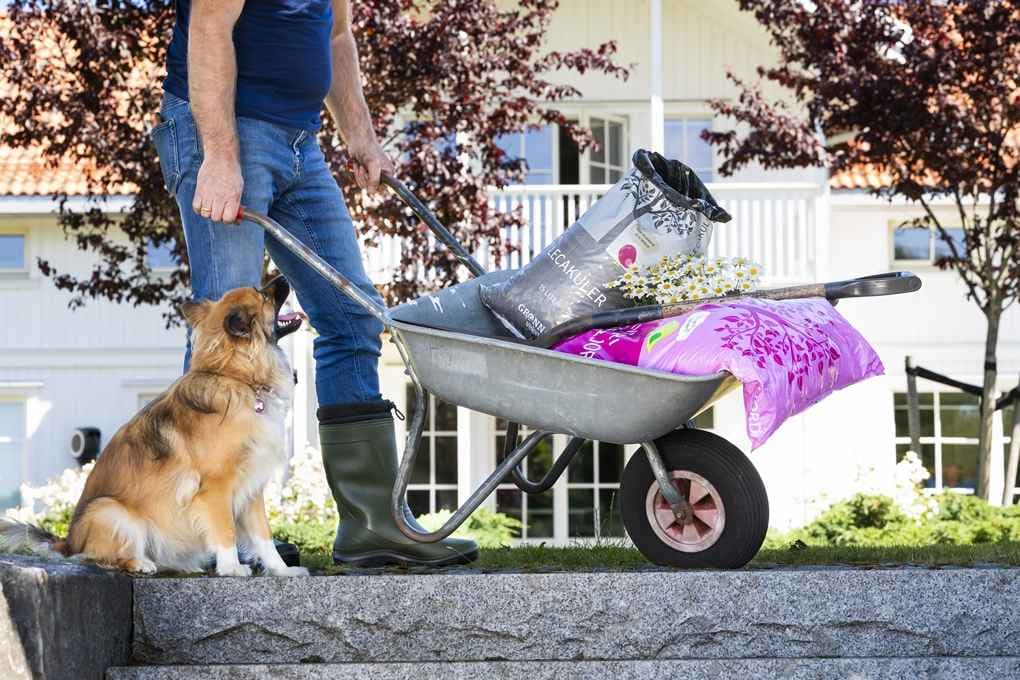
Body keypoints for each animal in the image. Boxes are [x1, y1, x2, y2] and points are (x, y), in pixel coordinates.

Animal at [2, 277, 306, 574]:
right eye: (262, 294)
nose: (283, 277)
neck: (236, 377)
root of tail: (67, 543)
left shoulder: (252, 487)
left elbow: (263, 536)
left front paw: (282, 570)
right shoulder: (215, 487)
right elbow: (226, 531)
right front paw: (231, 568)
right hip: (110, 511)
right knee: (103, 557)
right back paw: (140, 564)